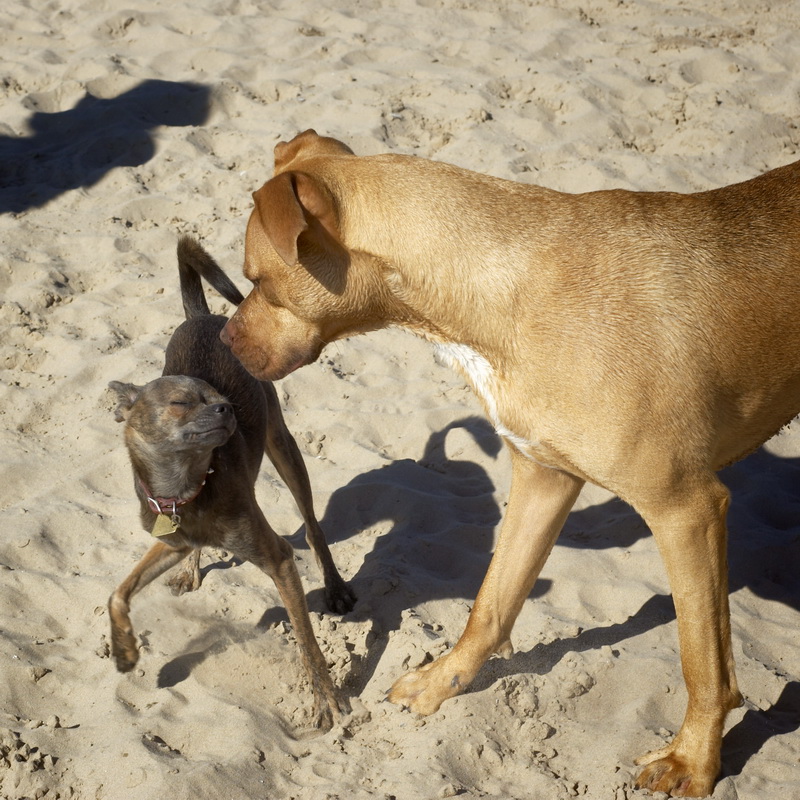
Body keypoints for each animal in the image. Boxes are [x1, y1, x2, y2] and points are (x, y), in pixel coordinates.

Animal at [108, 234, 354, 728]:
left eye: (220, 397)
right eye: (181, 402)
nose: (227, 409)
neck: (186, 490)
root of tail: (201, 315)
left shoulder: (278, 559)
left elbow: (306, 640)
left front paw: (325, 697)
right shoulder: (169, 539)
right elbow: (119, 592)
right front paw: (125, 651)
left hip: (284, 447)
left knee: (313, 526)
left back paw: (335, 587)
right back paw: (192, 570)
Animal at [219, 131, 800, 792]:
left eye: (257, 278)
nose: (224, 342)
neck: (502, 292)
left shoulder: (686, 509)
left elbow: (703, 662)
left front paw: (695, 762)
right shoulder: (544, 479)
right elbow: (491, 604)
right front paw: (442, 683)